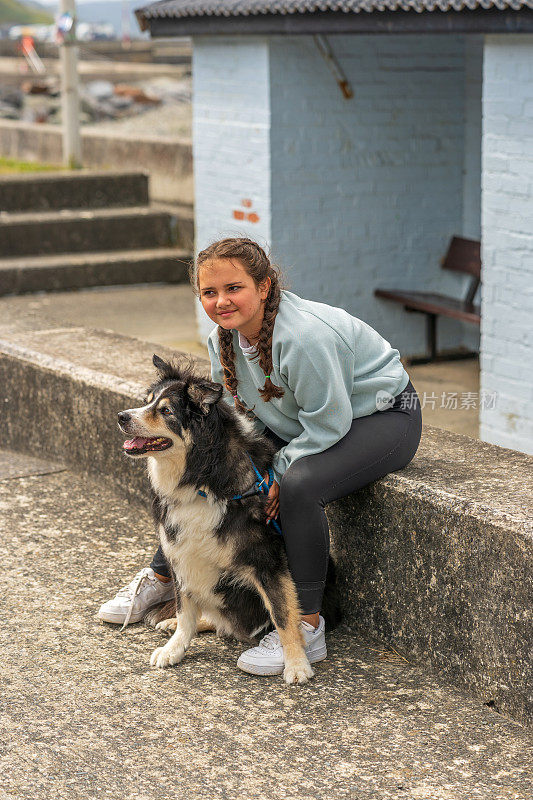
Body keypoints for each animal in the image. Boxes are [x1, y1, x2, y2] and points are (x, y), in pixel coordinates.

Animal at [118, 354, 338, 684]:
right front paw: (175, 647)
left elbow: (285, 615)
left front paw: (297, 664)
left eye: (166, 411)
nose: (121, 416)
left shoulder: (268, 561)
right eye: (146, 403)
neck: (202, 478)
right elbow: (184, 608)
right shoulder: (180, 551)